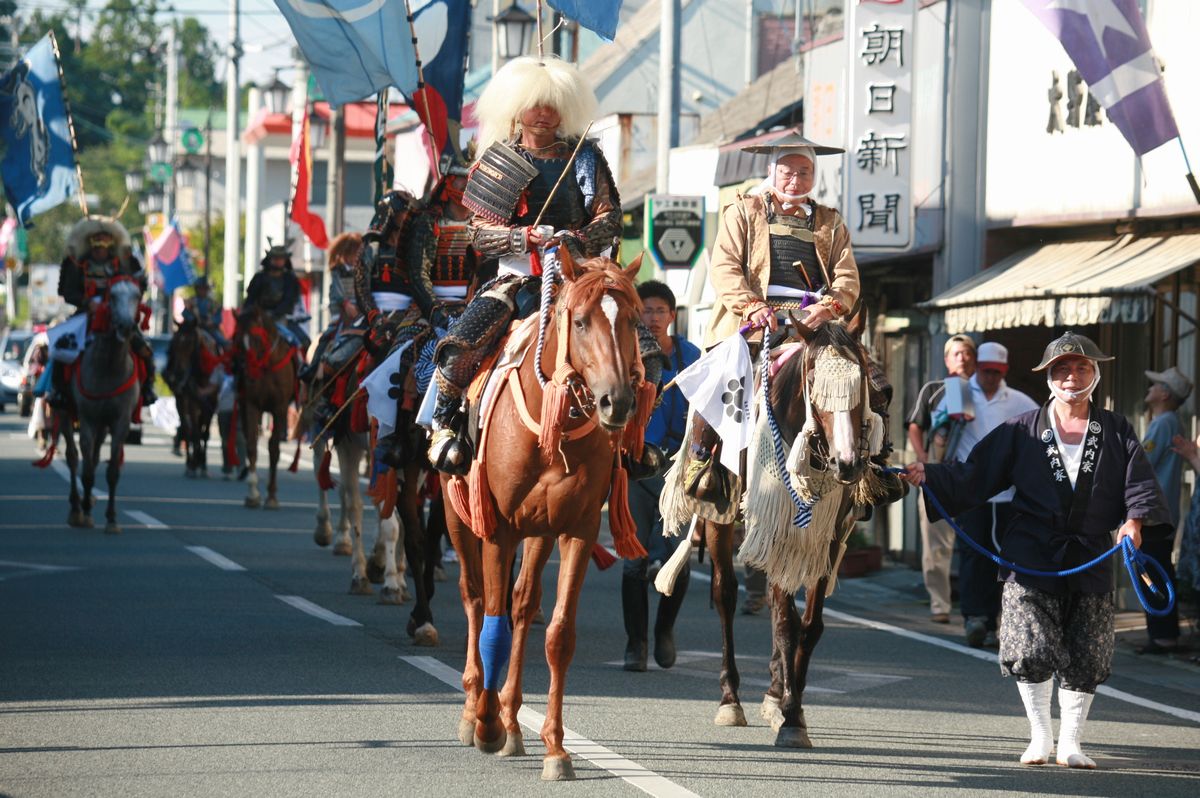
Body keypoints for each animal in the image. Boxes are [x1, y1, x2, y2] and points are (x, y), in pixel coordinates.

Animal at [232, 307, 298, 506]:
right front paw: (253, 493)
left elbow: (274, 449)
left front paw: (271, 496)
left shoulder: (280, 408)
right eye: (236, 339)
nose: (248, 372)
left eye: (256, 338)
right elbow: (252, 446)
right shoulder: (251, 405)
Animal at [441, 252, 652, 782]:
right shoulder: (498, 528)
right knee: (475, 599)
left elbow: (558, 635)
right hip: (459, 516)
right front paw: (487, 725)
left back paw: (514, 721)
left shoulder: (577, 528)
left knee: (522, 605)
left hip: (538, 530)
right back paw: (475, 709)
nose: (617, 401)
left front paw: (555, 748)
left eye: (632, 321)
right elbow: (492, 623)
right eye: (580, 322)